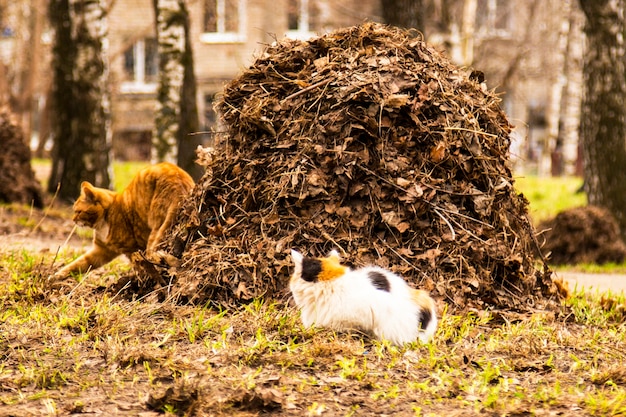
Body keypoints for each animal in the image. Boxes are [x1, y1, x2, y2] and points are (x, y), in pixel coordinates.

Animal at [55, 162, 194, 276]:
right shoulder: (101, 250)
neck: (103, 222)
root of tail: (177, 179)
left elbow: (141, 267)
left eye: (78, 212)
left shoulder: (131, 249)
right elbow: (78, 264)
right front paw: (57, 276)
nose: (73, 220)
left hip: (155, 226)